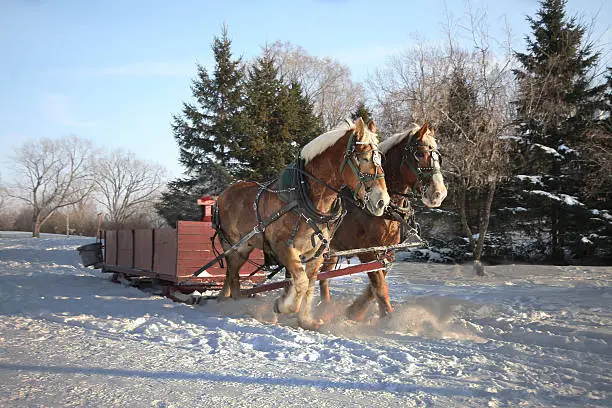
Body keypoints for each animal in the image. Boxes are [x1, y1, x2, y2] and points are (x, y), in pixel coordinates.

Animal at [213, 116, 390, 330]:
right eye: (363, 158)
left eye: (380, 158)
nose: (382, 201)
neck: (305, 197)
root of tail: (222, 195)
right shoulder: (284, 247)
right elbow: (301, 282)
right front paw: (283, 305)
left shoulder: (317, 253)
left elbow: (309, 284)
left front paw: (305, 319)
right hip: (233, 247)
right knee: (232, 274)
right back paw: (230, 303)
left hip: (244, 248)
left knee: (233, 277)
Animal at [318, 122, 448, 320]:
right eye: (419, 154)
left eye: (438, 157)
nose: (439, 193)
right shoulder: (367, 251)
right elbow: (379, 287)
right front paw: (387, 318)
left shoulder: (387, 252)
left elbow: (375, 287)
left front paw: (354, 312)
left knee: (323, 277)